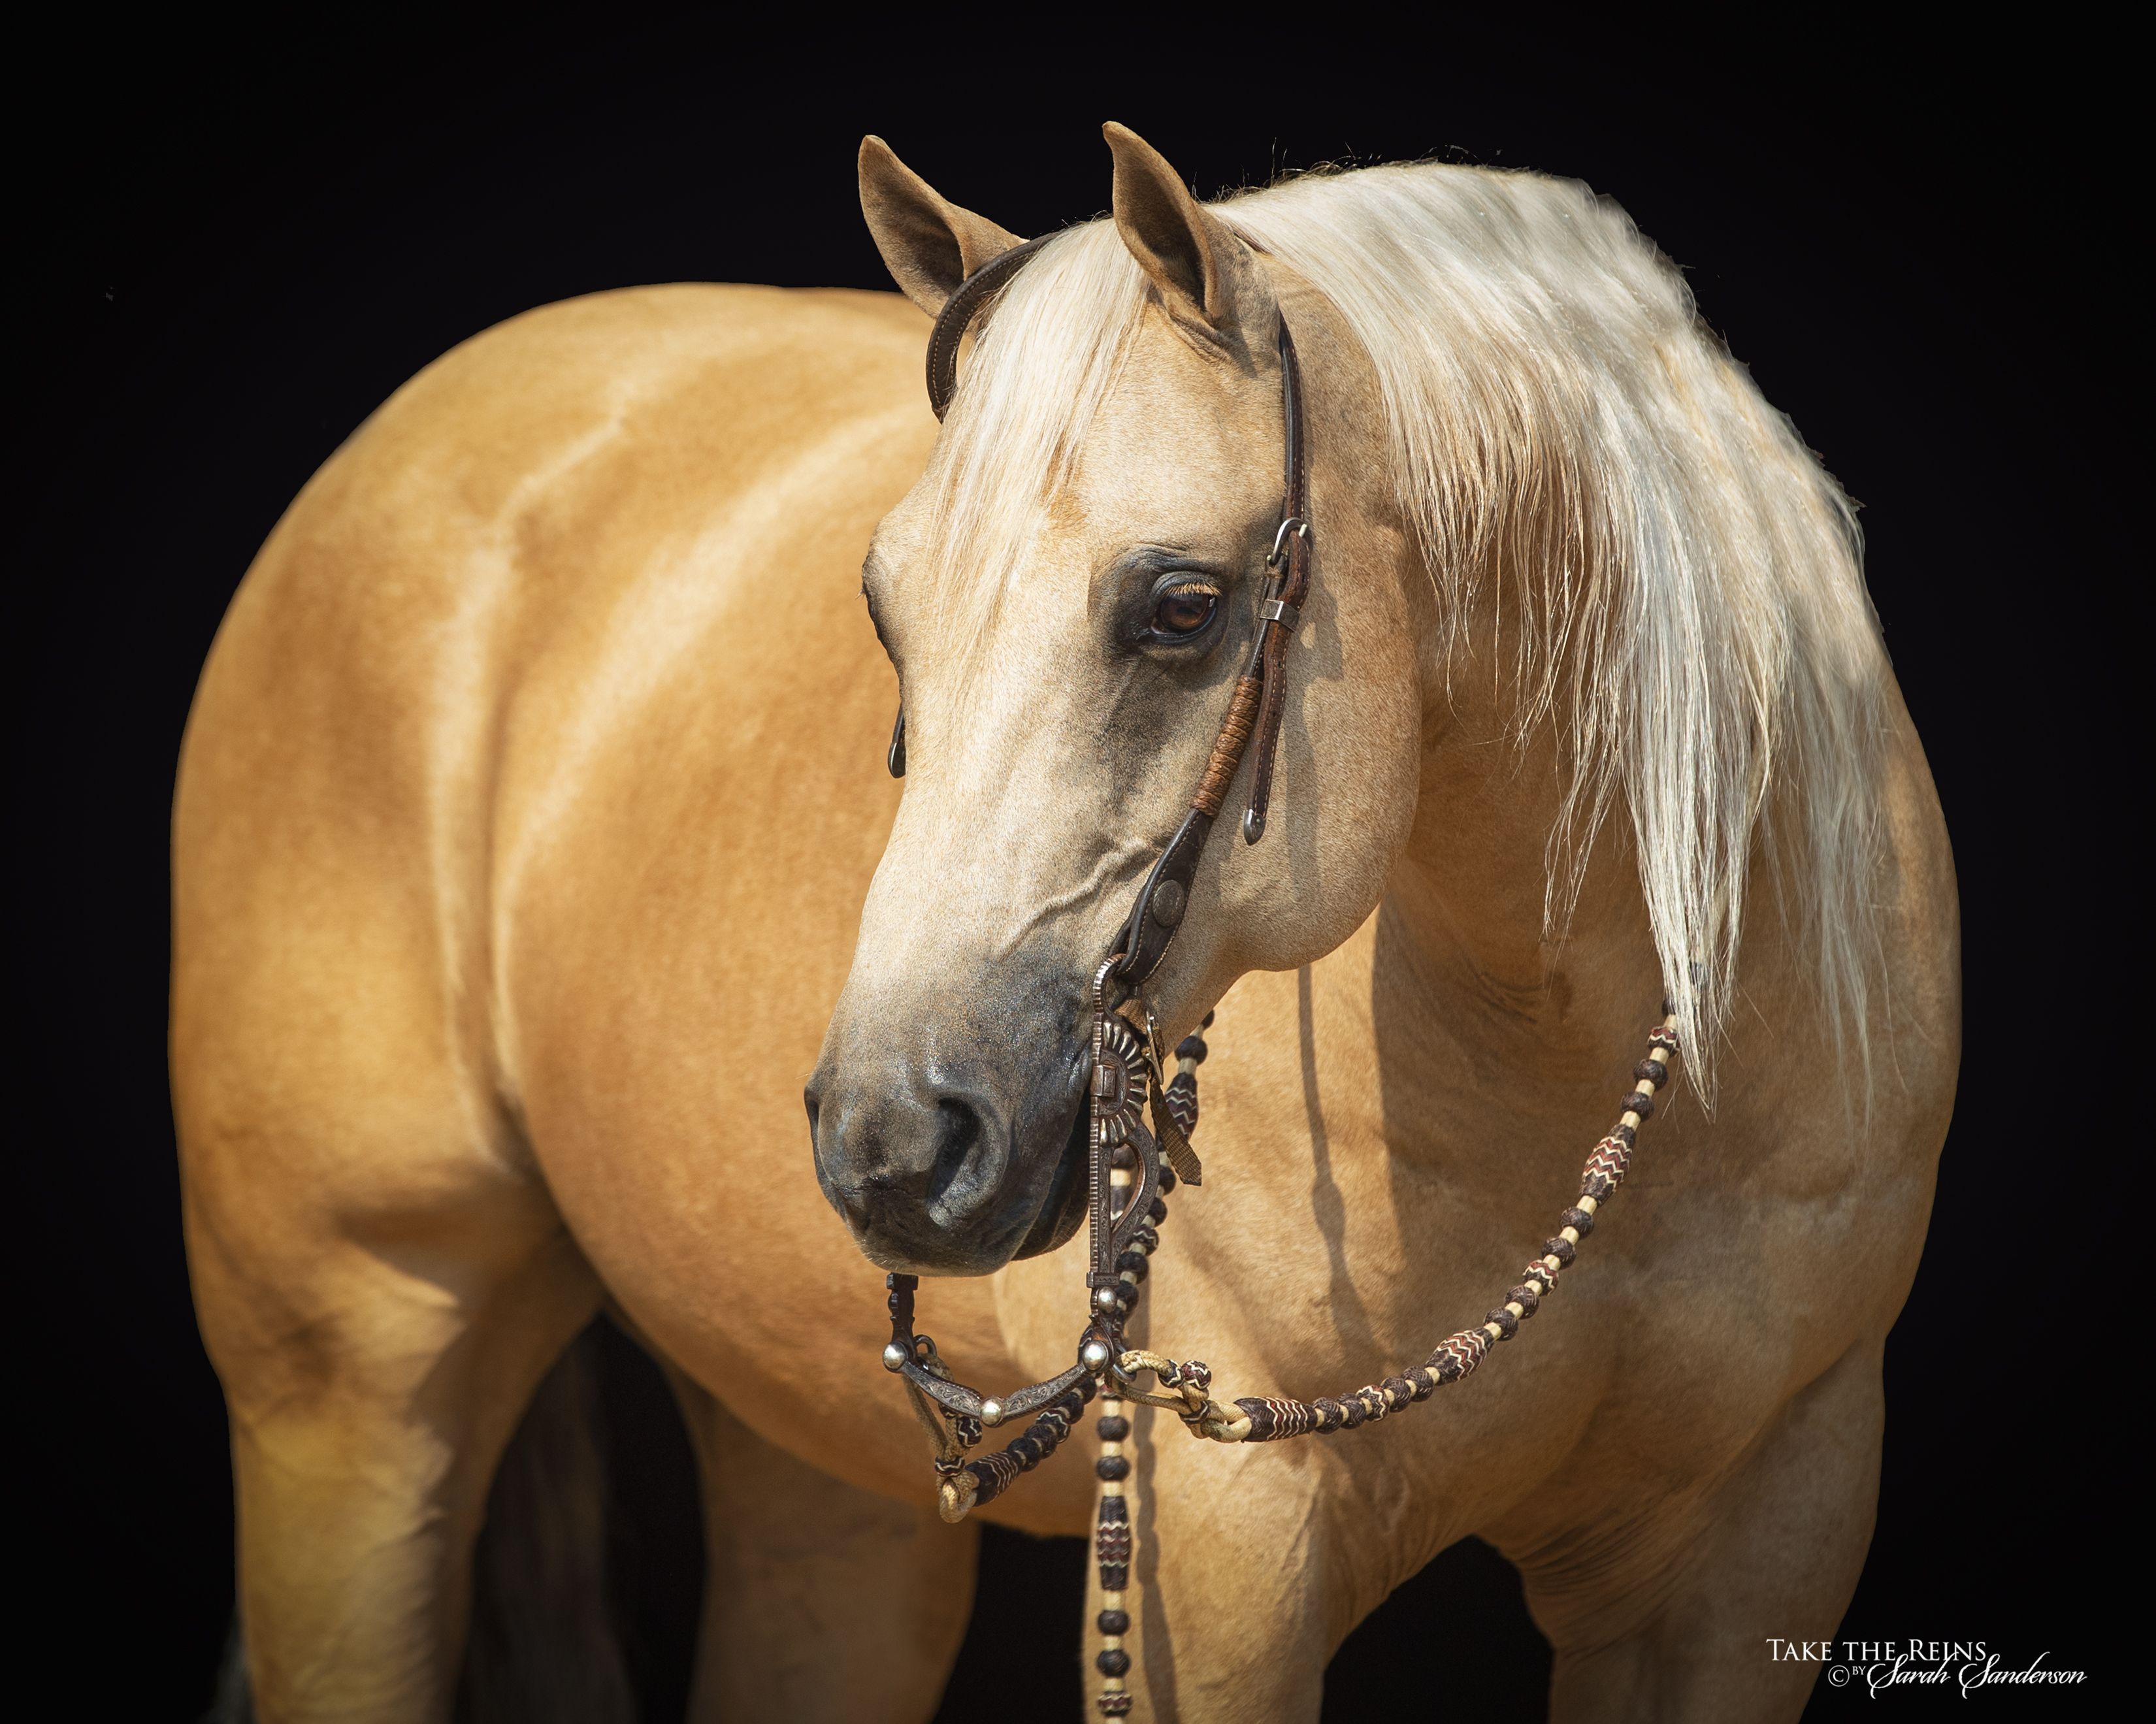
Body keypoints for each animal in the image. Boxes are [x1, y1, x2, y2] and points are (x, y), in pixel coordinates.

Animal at [176, 128, 1966, 1715]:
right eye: (883, 608)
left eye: (1182, 607)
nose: (895, 1137)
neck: (1579, 1068)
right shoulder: (1214, 1562)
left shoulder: (1756, 1544)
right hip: (351, 1394)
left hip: (812, 1473)